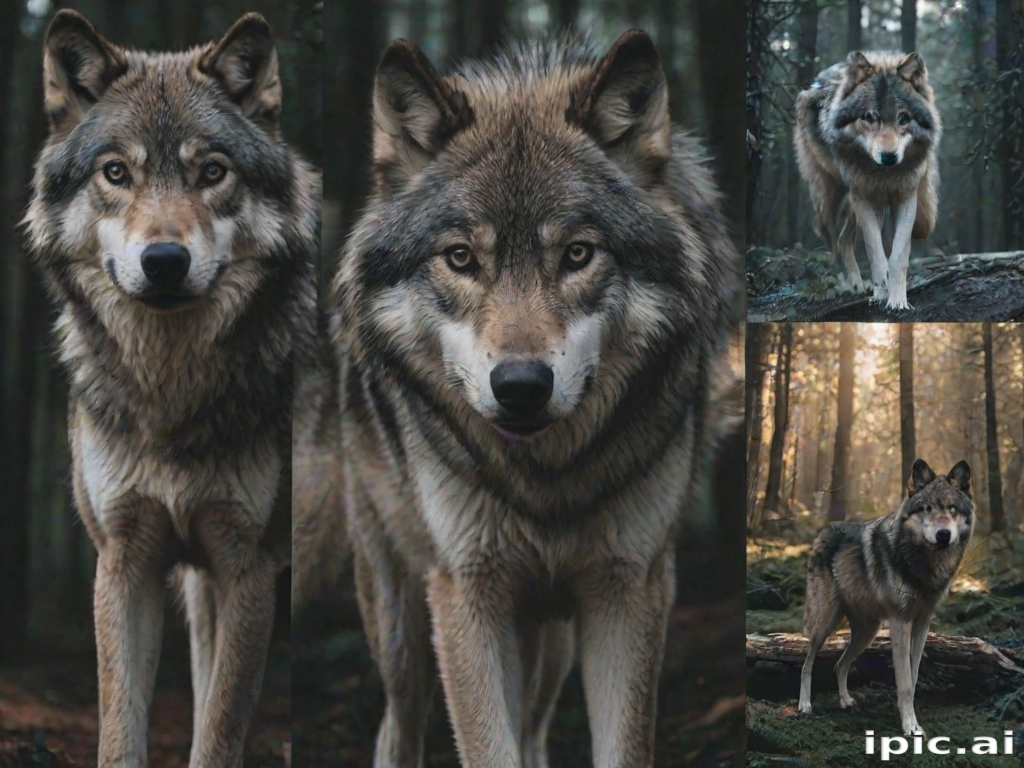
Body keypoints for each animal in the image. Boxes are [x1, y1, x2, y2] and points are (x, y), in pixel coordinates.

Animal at [23, 10, 318, 767]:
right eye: (116, 172)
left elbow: (218, 733)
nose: (163, 261)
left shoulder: (249, 565)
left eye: (211, 172)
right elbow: (120, 729)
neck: (172, 392)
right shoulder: (125, 560)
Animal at [330, 29, 739, 768]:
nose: (520, 386)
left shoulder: (628, 589)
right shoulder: (467, 592)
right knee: (398, 724)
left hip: (550, 637)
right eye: (460, 258)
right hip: (401, 619)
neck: (544, 479)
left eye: (577, 254)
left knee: (535, 728)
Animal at [794, 50, 941, 311]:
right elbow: (875, 250)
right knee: (832, 239)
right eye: (870, 117)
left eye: (904, 118)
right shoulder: (864, 197)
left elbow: (898, 254)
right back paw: (847, 283)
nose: (889, 157)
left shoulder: (906, 197)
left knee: (844, 239)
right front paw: (881, 289)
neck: (884, 175)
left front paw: (897, 300)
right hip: (834, 198)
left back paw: (861, 284)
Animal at [799, 459, 973, 737]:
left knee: (840, 664)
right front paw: (910, 727)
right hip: (825, 622)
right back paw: (804, 705)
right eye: (927, 508)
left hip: (868, 632)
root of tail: (825, 530)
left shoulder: (922, 624)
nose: (943, 534)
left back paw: (845, 701)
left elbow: (912, 676)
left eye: (952, 509)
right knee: (807, 663)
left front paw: (911, 720)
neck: (923, 566)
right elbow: (904, 682)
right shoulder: (900, 622)